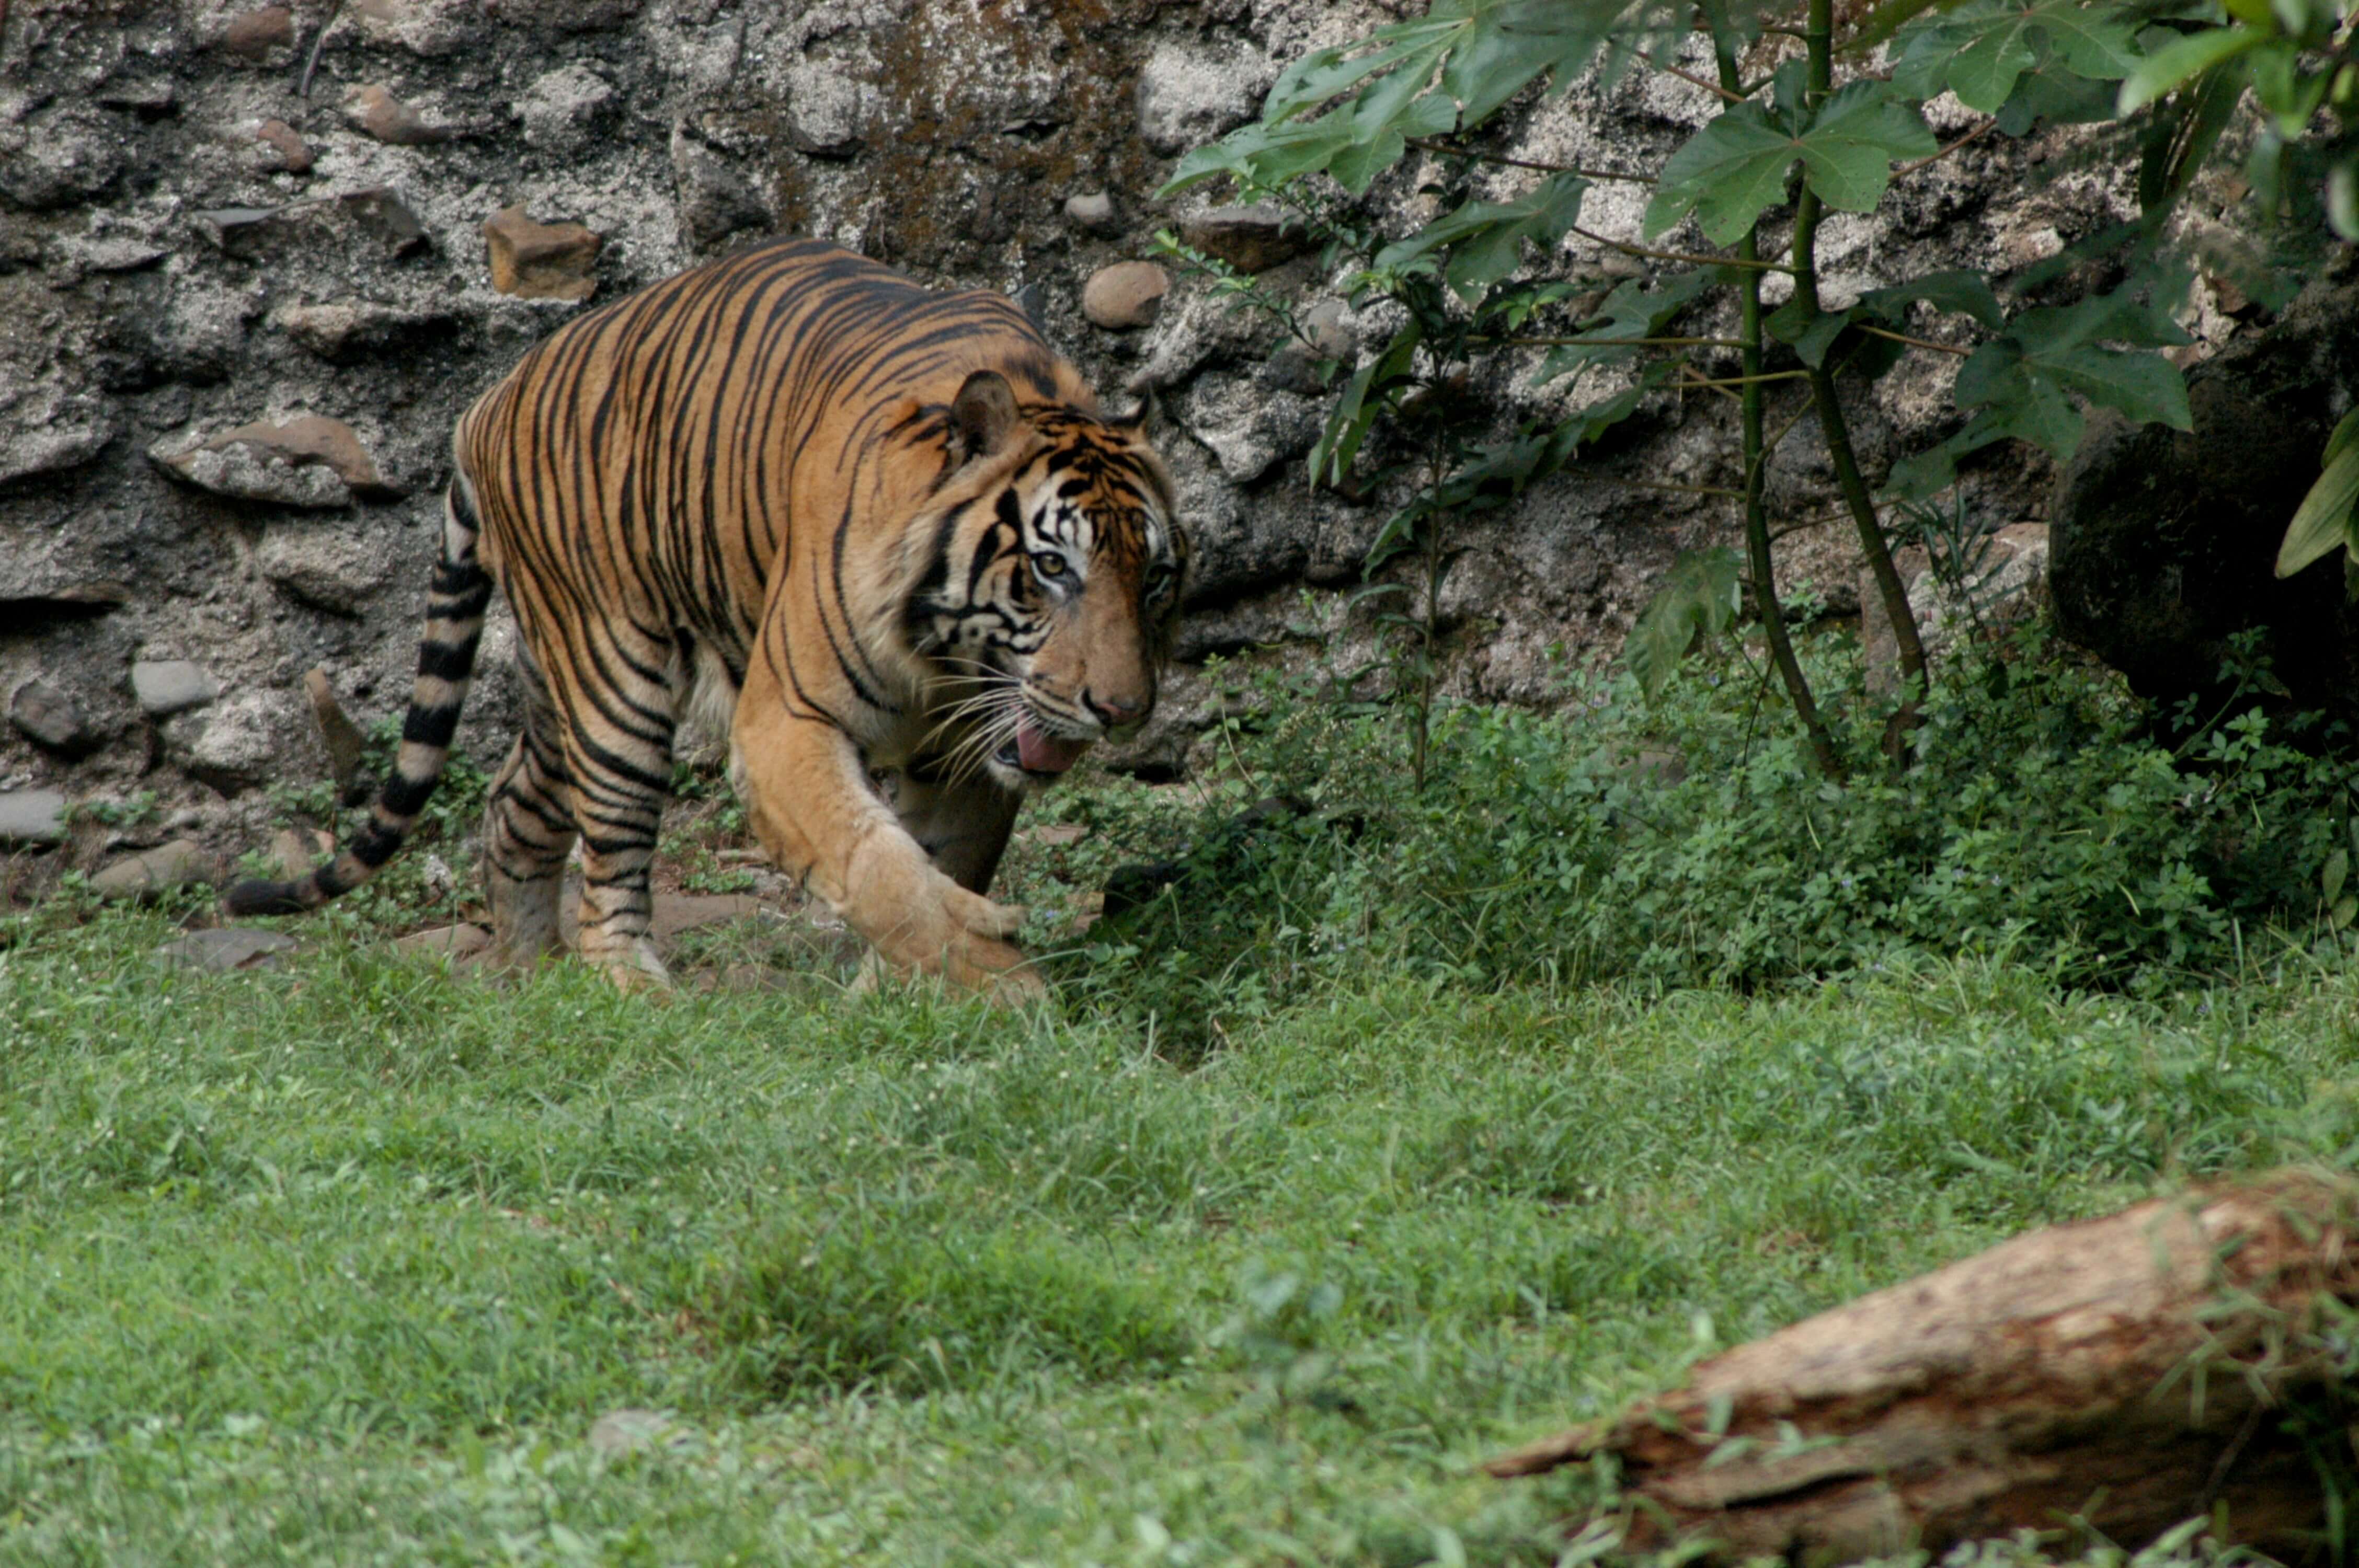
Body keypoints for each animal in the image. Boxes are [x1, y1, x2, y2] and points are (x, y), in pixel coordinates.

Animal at [230, 241, 1189, 1004]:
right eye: (1052, 569)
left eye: (1153, 580)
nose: (1122, 712)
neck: (949, 659)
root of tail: (488, 401)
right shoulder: (785, 722)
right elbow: (879, 868)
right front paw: (1006, 992)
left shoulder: (968, 756)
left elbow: (939, 864)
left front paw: (916, 991)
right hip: (614, 678)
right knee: (608, 861)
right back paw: (631, 989)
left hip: (554, 685)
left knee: (513, 809)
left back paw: (532, 977)